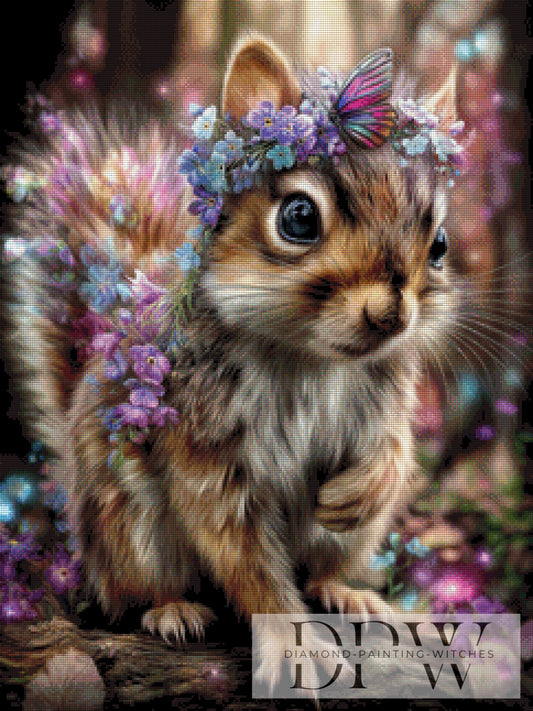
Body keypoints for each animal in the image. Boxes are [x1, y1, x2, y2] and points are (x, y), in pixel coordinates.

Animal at [2, 35, 460, 685]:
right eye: (299, 217)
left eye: (439, 244)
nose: (389, 316)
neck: (312, 359)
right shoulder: (204, 437)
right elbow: (239, 548)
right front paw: (295, 645)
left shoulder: (386, 400)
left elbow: (394, 453)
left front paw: (359, 491)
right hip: (132, 528)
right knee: (132, 594)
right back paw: (172, 610)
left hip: (345, 542)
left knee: (320, 568)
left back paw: (347, 592)